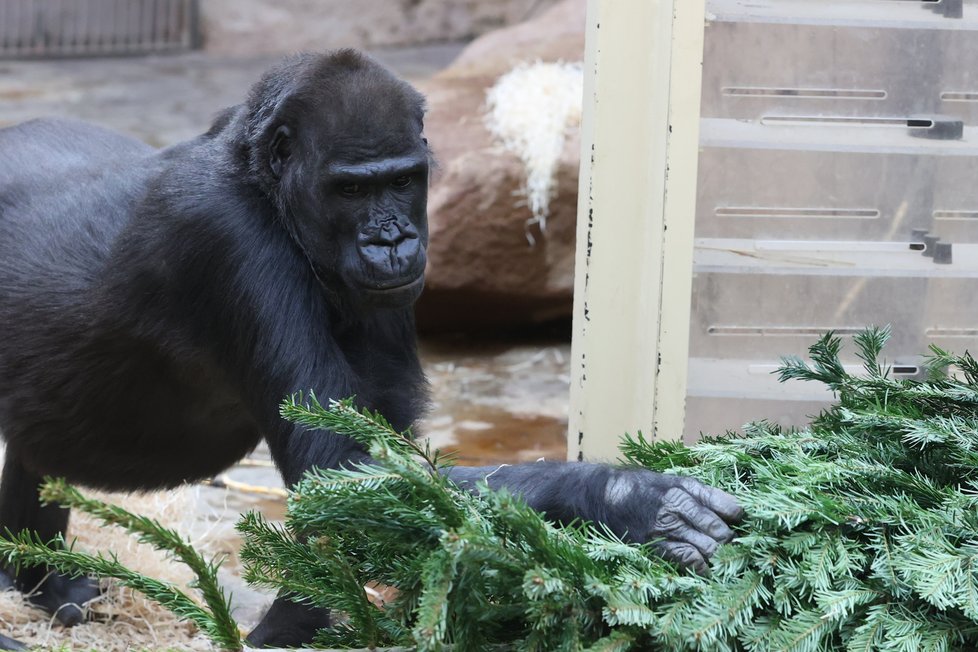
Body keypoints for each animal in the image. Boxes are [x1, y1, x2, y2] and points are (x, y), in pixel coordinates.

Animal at [0, 51, 740, 648]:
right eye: (351, 188)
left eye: (401, 181)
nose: (391, 240)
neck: (261, 183)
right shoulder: (228, 239)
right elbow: (344, 471)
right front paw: (626, 497)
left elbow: (381, 483)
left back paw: (44, 579)